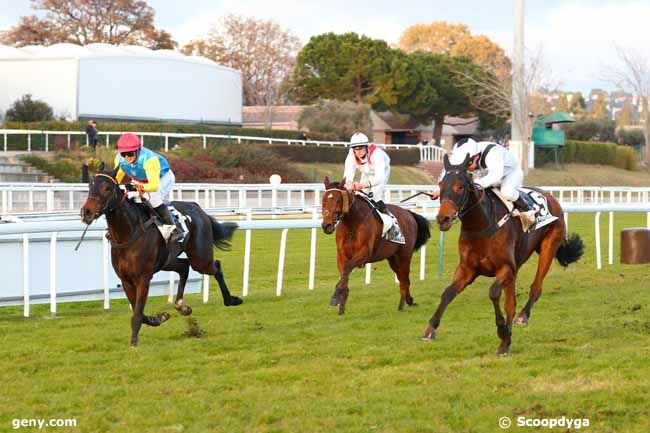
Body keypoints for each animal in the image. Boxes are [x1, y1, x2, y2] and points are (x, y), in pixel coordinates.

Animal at [80, 168, 242, 344]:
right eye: (90, 186)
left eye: (107, 188)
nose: (86, 212)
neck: (128, 233)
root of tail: (196, 207)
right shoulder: (126, 280)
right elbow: (139, 312)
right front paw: (159, 317)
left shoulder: (143, 278)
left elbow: (137, 313)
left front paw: (133, 343)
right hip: (167, 261)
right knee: (184, 267)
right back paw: (182, 306)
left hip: (200, 258)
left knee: (216, 266)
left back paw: (232, 300)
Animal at [320, 176, 430, 314]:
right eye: (323, 199)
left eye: (338, 200)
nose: (327, 225)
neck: (352, 223)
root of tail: (409, 213)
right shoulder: (341, 255)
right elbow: (344, 274)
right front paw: (341, 309)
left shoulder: (365, 252)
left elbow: (347, 268)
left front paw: (335, 297)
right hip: (393, 258)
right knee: (401, 277)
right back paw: (407, 301)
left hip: (404, 255)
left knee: (405, 279)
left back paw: (402, 305)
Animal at [420, 154, 584, 354]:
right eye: (441, 185)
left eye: (460, 187)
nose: (443, 218)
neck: (482, 225)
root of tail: (552, 198)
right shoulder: (468, 269)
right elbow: (448, 293)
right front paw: (430, 329)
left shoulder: (506, 268)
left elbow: (493, 293)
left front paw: (502, 330)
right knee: (511, 303)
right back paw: (506, 342)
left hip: (549, 247)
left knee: (535, 288)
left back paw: (521, 318)